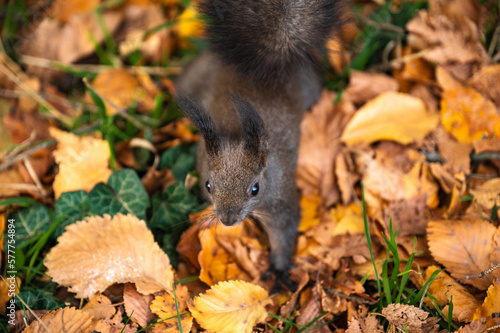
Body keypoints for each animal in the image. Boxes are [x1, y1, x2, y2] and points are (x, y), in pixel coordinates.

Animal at [175, 0, 344, 286]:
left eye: (255, 189)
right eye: (208, 185)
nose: (228, 219)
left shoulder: (280, 198)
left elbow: (285, 228)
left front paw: (279, 268)